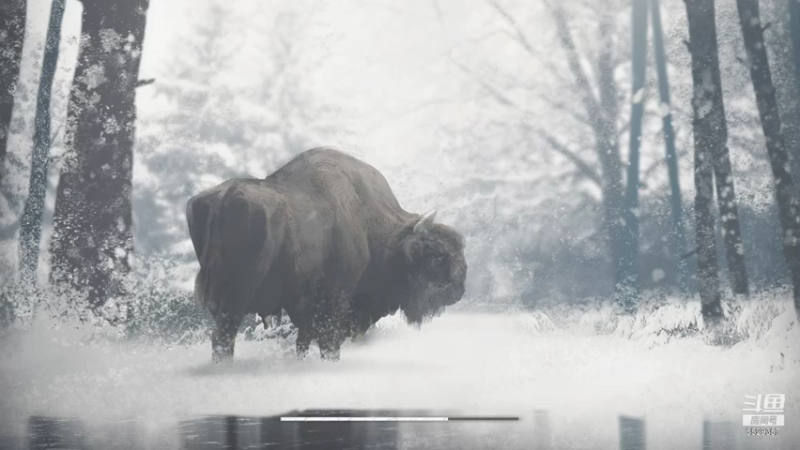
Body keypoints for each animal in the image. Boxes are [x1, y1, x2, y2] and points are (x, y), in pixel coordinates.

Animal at [188, 148, 468, 362]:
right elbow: (329, 343)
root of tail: (223, 197)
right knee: (223, 337)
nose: (458, 290)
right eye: (436, 254)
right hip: (236, 296)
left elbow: (302, 344)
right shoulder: (335, 302)